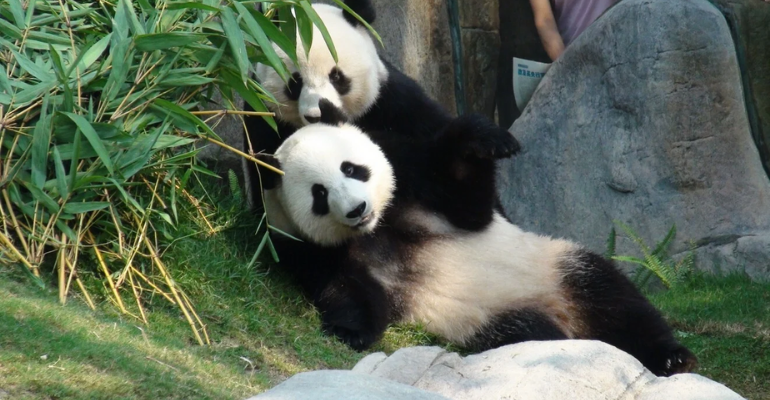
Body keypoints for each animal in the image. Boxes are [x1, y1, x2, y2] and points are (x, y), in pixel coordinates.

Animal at [255, 117, 700, 376]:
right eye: (319, 193)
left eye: (352, 168)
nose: (357, 208)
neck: (377, 228)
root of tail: (562, 315)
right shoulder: (307, 247)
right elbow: (345, 287)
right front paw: (348, 331)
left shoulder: (410, 173)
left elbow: (471, 207)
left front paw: (485, 141)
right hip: (496, 320)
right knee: (533, 334)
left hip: (553, 267)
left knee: (612, 296)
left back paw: (672, 357)